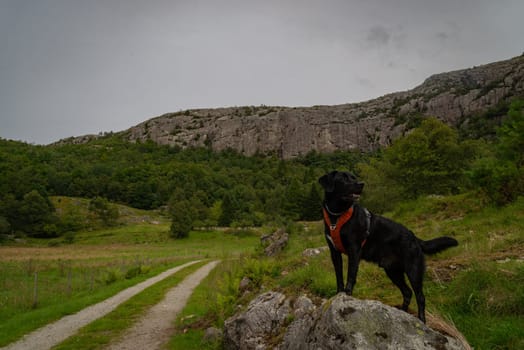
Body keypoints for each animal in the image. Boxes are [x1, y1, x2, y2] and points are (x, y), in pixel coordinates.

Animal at [318, 170, 456, 322]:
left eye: (354, 177)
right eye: (343, 179)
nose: (361, 184)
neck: (337, 216)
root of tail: (414, 237)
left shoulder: (354, 250)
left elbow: (351, 276)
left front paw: (348, 295)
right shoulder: (334, 252)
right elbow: (339, 276)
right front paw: (338, 294)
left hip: (413, 270)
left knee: (420, 296)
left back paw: (421, 320)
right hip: (392, 271)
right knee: (407, 292)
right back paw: (403, 312)